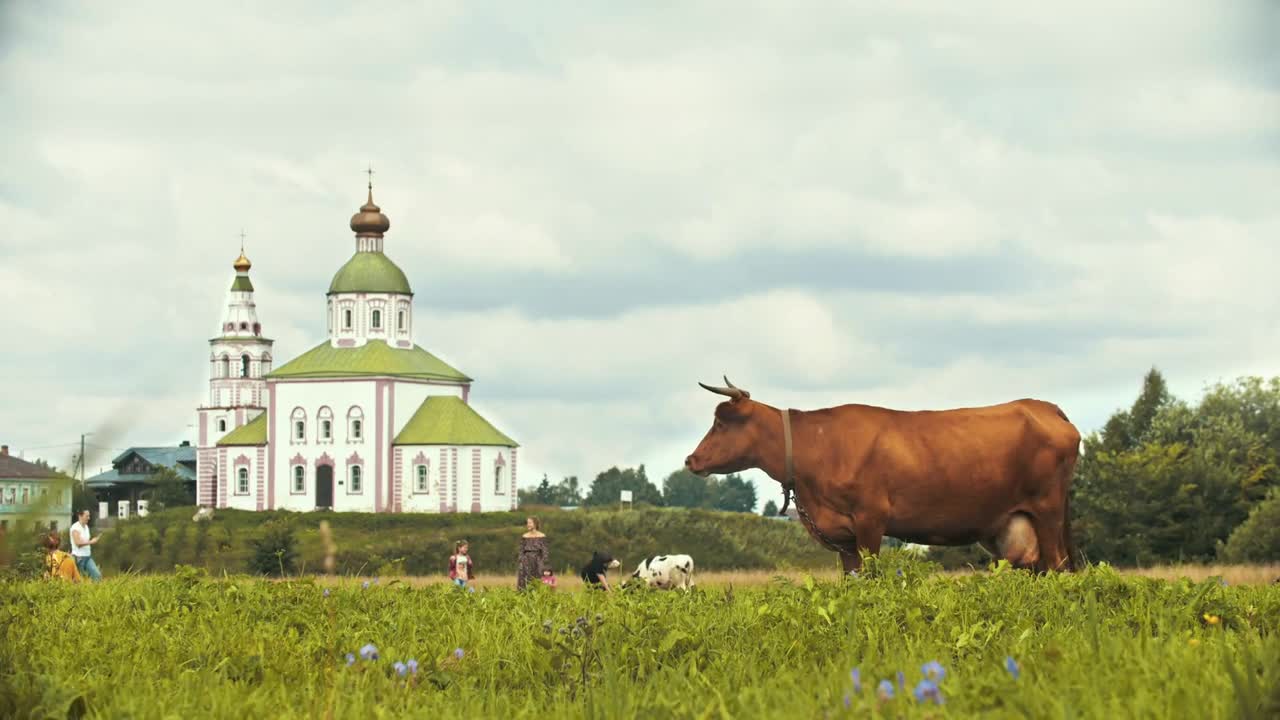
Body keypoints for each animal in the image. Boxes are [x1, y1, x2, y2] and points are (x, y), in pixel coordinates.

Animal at [680, 376, 1080, 571]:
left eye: (720, 422)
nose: (690, 460)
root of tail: (1043, 407)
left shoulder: (871, 520)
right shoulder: (844, 538)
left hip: (1048, 511)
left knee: (1058, 566)